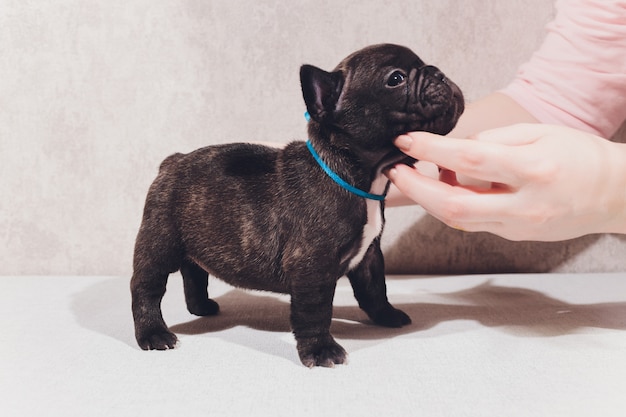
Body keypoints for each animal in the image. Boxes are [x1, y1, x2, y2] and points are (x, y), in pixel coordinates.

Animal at [130, 43, 464, 368]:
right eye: (396, 78)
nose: (438, 73)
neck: (357, 175)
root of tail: (173, 161)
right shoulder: (312, 263)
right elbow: (315, 310)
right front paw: (320, 351)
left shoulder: (369, 254)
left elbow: (374, 289)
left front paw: (387, 315)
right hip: (160, 242)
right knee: (146, 287)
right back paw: (154, 334)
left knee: (194, 271)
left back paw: (201, 307)